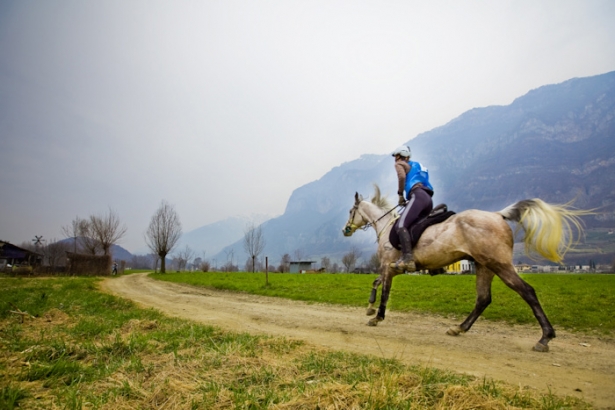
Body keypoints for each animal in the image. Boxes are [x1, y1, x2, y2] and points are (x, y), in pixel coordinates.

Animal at [344, 184, 588, 350]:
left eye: (350, 211)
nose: (345, 230)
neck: (387, 226)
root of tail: (498, 215)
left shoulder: (388, 266)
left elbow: (384, 291)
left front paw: (376, 316)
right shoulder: (393, 268)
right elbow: (376, 282)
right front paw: (370, 307)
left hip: (499, 264)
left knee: (527, 291)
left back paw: (545, 337)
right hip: (484, 266)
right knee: (483, 298)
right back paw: (459, 328)